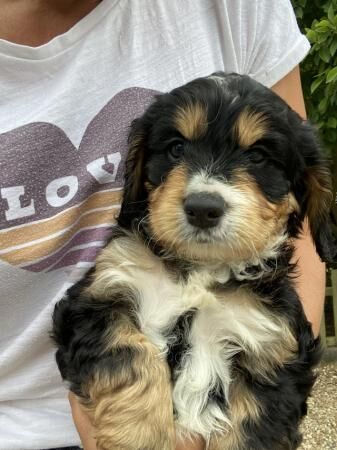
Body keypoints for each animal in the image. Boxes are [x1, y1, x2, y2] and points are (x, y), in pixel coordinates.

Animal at [51, 74, 334, 450]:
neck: (202, 270)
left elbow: (251, 433)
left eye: (258, 156)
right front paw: (140, 435)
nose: (202, 208)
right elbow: (130, 351)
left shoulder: (274, 356)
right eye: (176, 148)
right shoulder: (94, 301)